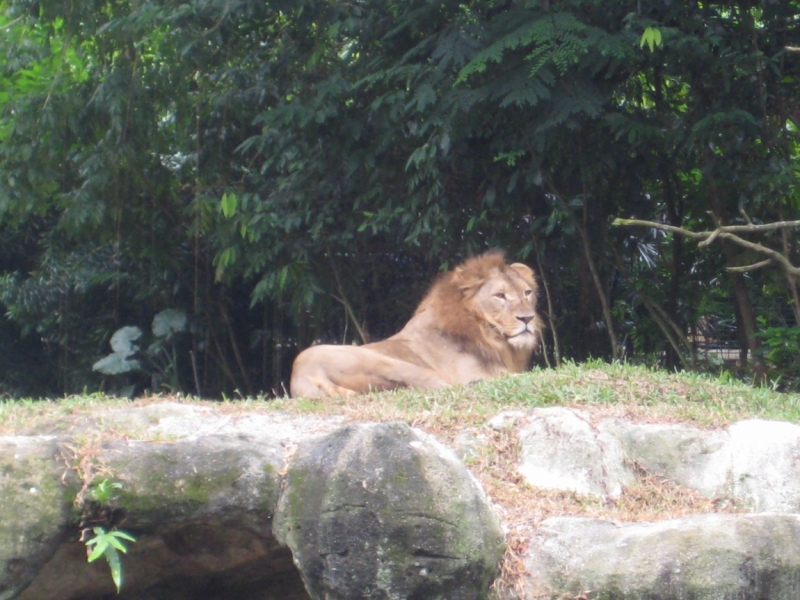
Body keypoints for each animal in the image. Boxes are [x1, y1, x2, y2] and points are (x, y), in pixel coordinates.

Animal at [290, 252, 548, 398]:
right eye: (500, 296)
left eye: (527, 293)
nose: (527, 318)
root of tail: (300, 376)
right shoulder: (476, 372)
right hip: (396, 365)